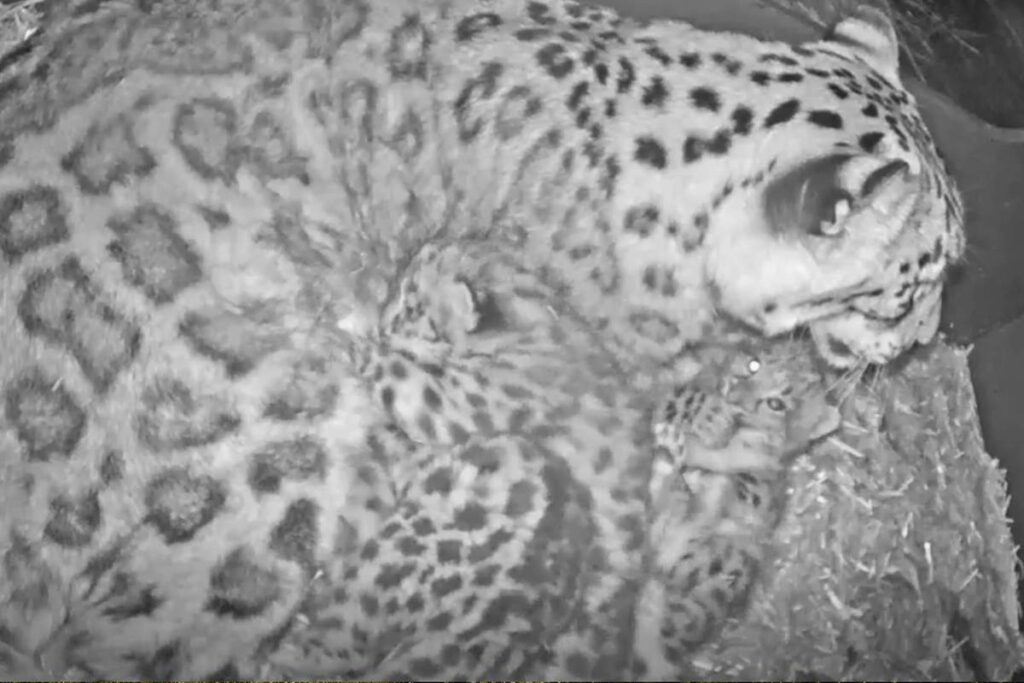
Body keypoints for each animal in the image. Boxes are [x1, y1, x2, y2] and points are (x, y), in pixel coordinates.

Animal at [634, 335, 842, 677]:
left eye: (777, 404)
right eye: (754, 364)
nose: (733, 392)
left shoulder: (753, 488)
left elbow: (742, 478)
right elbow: (673, 394)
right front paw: (702, 420)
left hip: (720, 571)